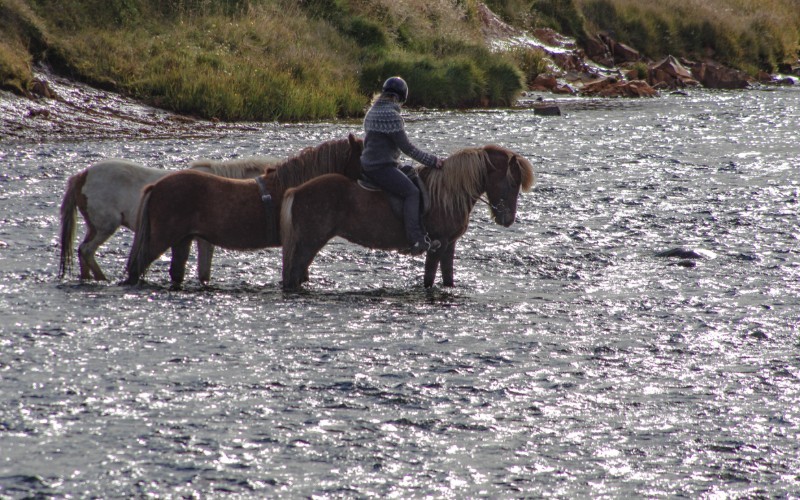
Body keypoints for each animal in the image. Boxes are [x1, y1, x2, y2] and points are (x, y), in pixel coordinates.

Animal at [58, 157, 278, 282]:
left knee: (83, 252)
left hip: (94, 227)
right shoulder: (204, 240)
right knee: (87, 250)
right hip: (106, 227)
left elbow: (204, 273)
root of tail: (81, 175)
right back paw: (103, 279)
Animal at [278, 144, 536, 290]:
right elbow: (429, 279)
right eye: (512, 182)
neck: (447, 193)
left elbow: (448, 278)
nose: (508, 219)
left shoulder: (449, 246)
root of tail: (297, 190)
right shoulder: (437, 245)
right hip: (309, 243)